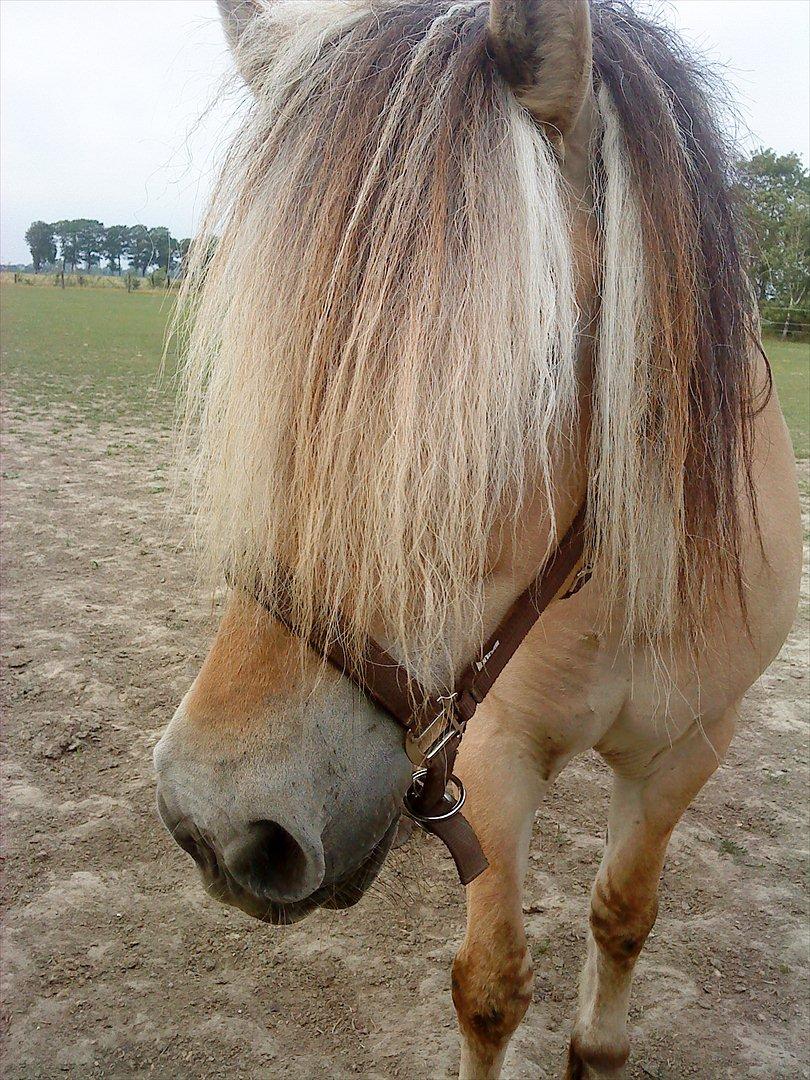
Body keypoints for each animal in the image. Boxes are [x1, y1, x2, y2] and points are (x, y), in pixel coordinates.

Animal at [153, 4, 807, 1075]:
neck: (625, 593)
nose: (221, 822)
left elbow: (623, 920)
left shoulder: (687, 752)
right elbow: (492, 988)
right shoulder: (494, 756)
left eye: (529, 367)